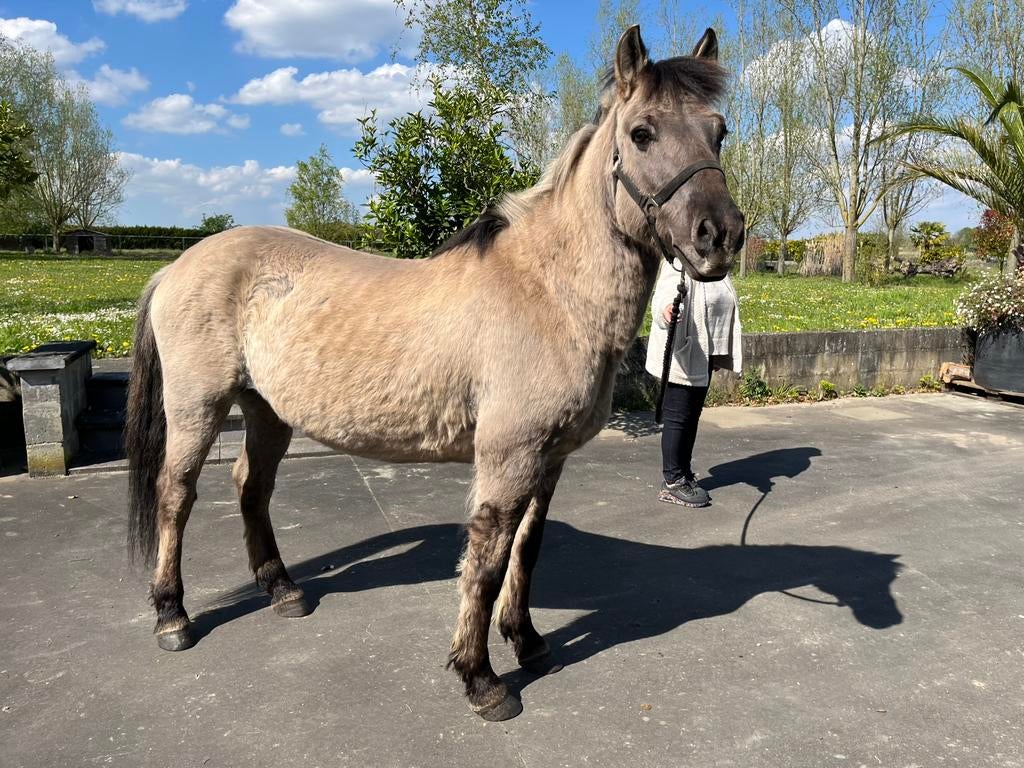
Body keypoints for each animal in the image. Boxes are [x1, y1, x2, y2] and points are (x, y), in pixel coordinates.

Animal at [125, 25, 745, 721]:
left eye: (719, 131)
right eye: (641, 133)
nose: (720, 236)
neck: (549, 291)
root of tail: (176, 266)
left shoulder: (549, 460)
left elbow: (526, 551)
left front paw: (528, 641)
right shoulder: (508, 458)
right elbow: (486, 561)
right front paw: (481, 678)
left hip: (267, 410)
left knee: (251, 487)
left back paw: (283, 590)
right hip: (198, 407)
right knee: (176, 494)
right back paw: (172, 616)